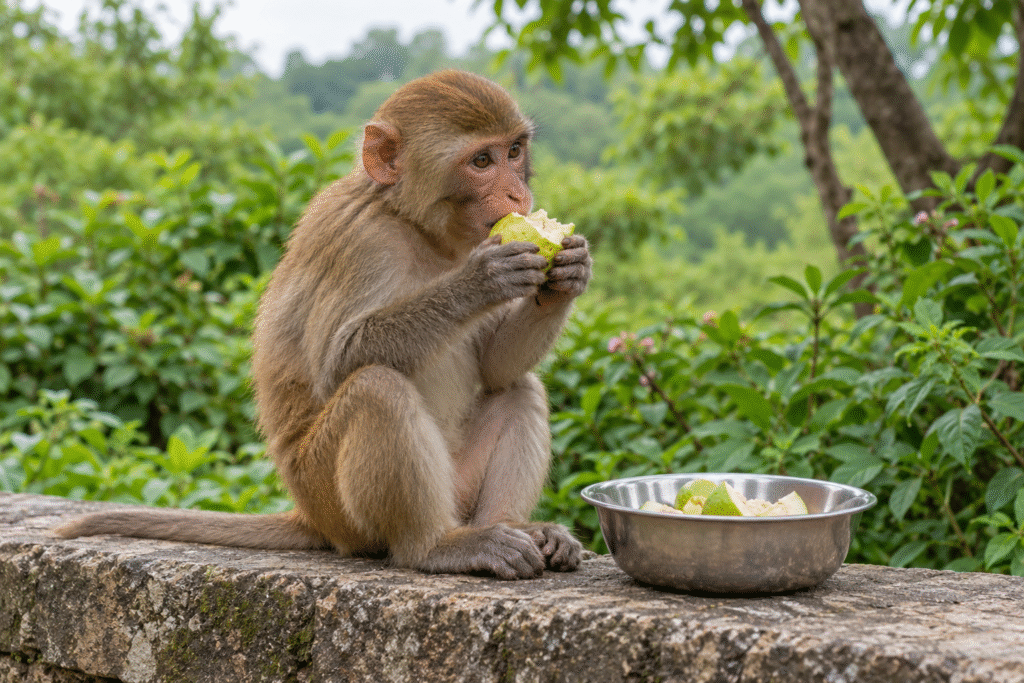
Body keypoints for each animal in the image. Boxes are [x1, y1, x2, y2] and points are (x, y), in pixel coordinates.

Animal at [56, 70, 592, 580]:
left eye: (514, 151)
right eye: (481, 161)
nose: (517, 193)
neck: (412, 223)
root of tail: (309, 514)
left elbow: (496, 368)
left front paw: (568, 274)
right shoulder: (360, 243)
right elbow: (339, 362)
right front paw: (481, 281)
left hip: (455, 487)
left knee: (518, 388)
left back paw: (512, 527)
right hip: (331, 498)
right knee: (377, 390)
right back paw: (436, 546)